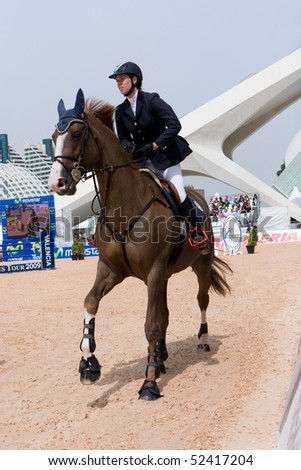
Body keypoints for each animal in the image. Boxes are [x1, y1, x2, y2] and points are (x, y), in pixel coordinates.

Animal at [48, 88, 230, 400]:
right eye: (52, 137)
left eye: (75, 134)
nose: (57, 184)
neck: (124, 204)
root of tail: (200, 197)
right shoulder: (111, 269)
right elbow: (91, 302)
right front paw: (88, 364)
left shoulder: (154, 272)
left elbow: (151, 324)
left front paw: (149, 382)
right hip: (165, 276)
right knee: (165, 313)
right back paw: (162, 357)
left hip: (200, 265)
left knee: (201, 300)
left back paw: (201, 341)